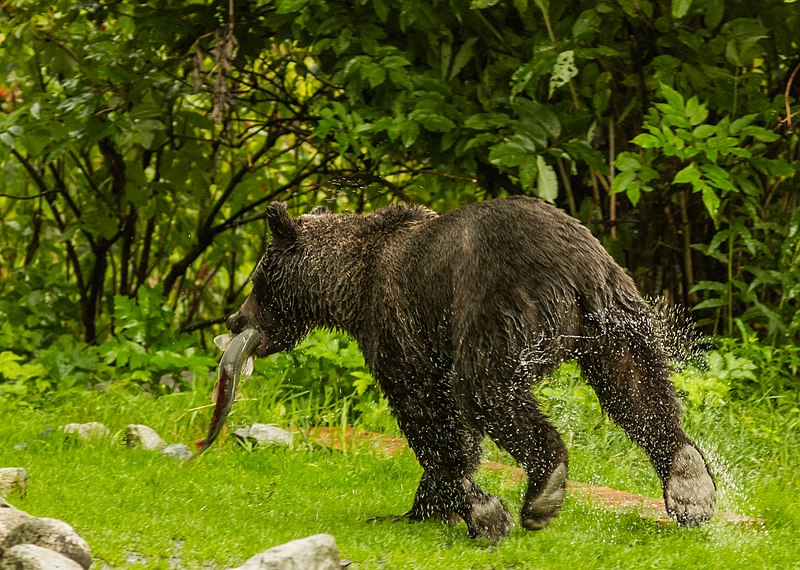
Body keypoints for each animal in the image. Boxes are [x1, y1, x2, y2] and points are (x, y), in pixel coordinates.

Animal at [228, 195, 716, 536]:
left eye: (257, 280)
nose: (235, 319)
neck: (350, 285)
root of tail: (574, 267)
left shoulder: (398, 329)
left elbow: (431, 419)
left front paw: (476, 510)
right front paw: (427, 507)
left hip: (499, 306)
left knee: (485, 389)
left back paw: (543, 489)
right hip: (614, 314)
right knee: (636, 386)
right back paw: (689, 481)